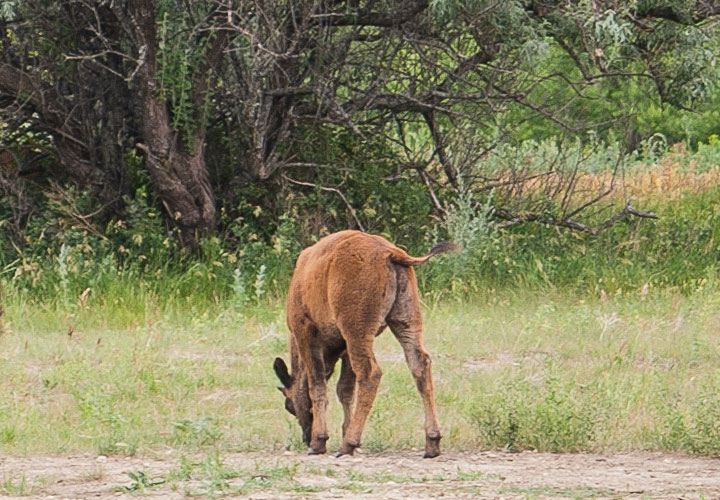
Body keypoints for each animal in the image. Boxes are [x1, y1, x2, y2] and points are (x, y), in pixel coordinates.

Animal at [273, 230, 458, 458]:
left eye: (289, 405)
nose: (306, 437)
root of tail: (391, 252)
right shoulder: (344, 347)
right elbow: (344, 390)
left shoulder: (306, 333)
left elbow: (317, 384)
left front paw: (320, 442)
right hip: (406, 321)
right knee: (419, 365)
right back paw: (432, 444)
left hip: (358, 331)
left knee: (370, 373)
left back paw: (347, 444)